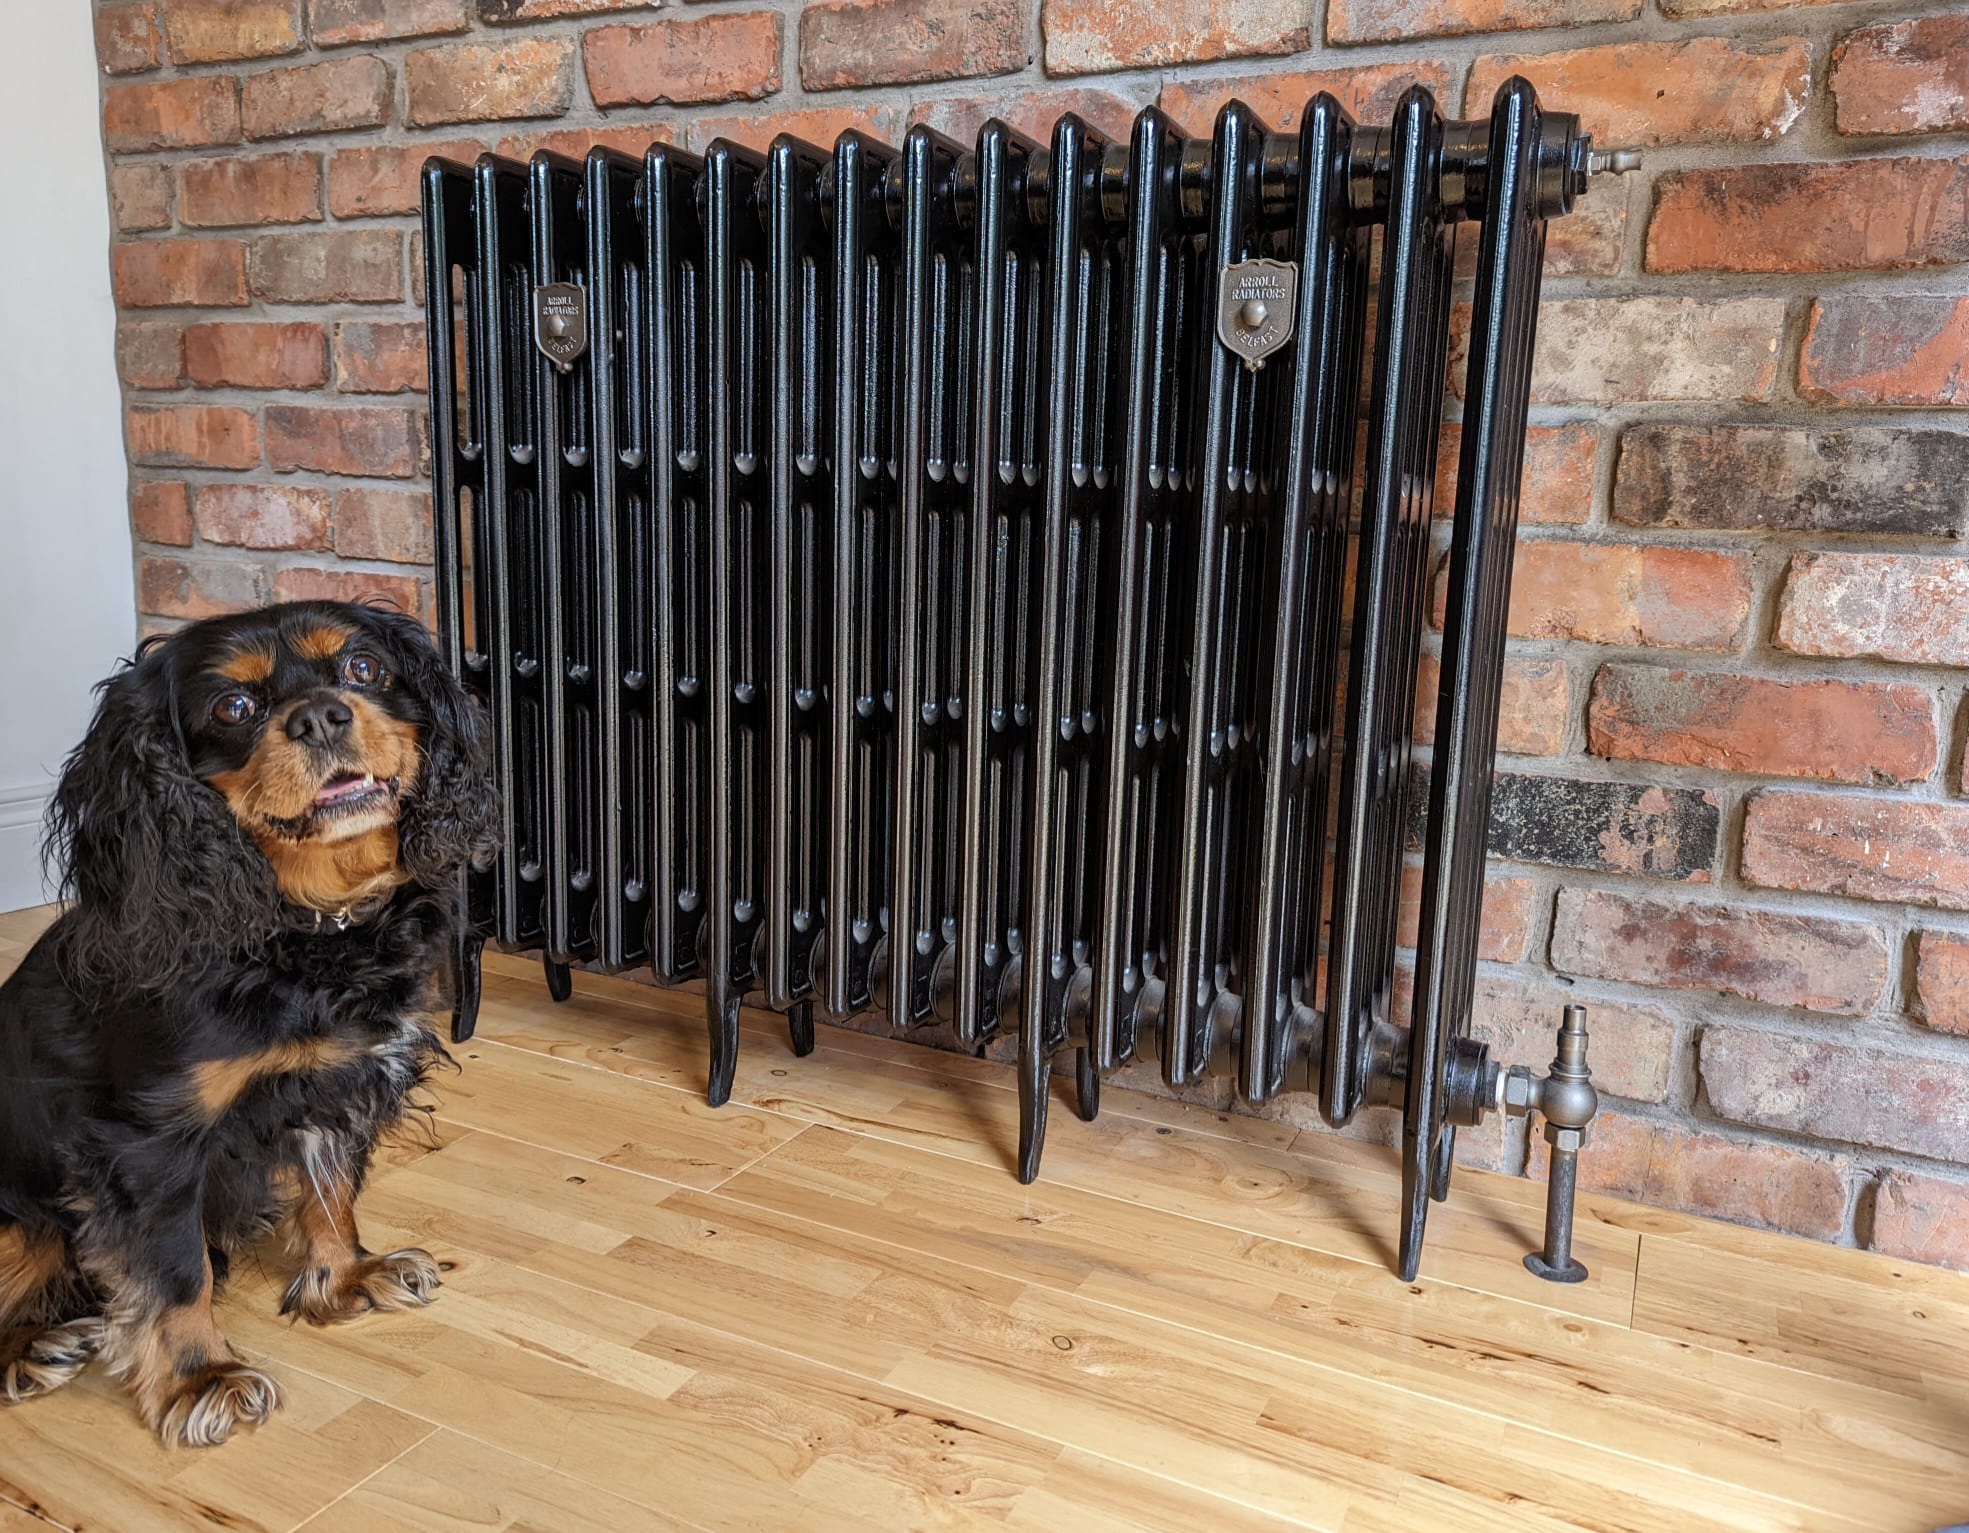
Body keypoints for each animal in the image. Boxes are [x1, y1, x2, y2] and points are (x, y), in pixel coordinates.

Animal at [0, 602, 492, 1448]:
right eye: (234, 707)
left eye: (364, 669)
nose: (321, 715)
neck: (309, 929)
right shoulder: (149, 1140)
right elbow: (177, 1268)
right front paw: (200, 1378)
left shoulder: (341, 1080)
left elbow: (332, 1187)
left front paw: (344, 1275)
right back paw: (31, 1350)